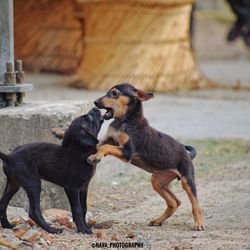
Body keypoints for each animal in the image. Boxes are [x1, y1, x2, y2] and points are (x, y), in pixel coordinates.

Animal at [87, 83, 204, 230]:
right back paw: (158, 221)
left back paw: (198, 224)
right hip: (158, 180)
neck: (126, 120)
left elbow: (106, 148)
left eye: (114, 93)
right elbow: (101, 146)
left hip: (187, 180)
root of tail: (187, 154)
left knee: (195, 204)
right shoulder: (108, 139)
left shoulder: (127, 152)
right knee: (174, 202)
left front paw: (96, 157)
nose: (95, 102)